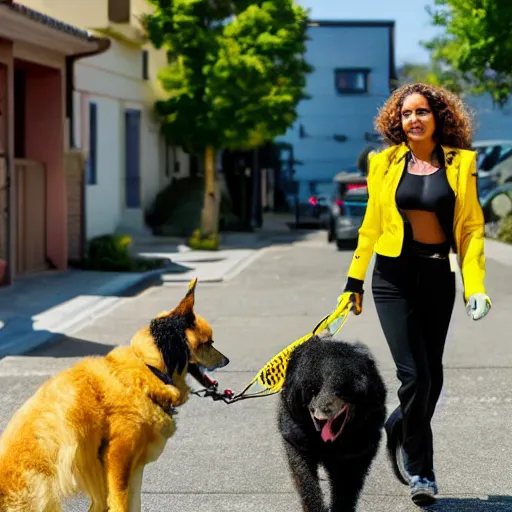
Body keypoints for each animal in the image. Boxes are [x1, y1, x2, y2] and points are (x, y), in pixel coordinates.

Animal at [0, 278, 228, 510]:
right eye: (207, 343)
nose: (227, 361)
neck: (149, 367)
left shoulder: (132, 468)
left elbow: (132, 503)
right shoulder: (119, 459)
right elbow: (120, 502)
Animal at [278, 334, 386, 510]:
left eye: (341, 391)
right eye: (312, 390)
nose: (323, 409)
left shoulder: (362, 443)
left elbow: (348, 485)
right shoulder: (294, 432)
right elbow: (304, 477)